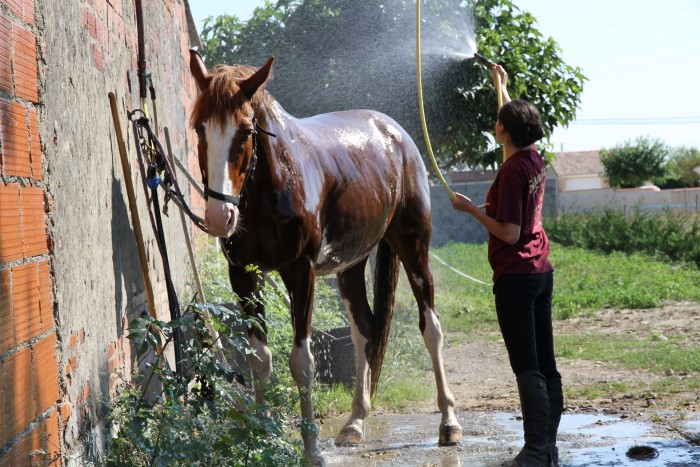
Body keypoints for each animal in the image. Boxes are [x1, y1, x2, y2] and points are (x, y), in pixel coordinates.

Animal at [189, 50, 462, 460]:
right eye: (198, 129)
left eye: (247, 131)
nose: (220, 217)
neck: (274, 183)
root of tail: (395, 134)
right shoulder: (244, 275)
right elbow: (259, 359)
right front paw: (258, 437)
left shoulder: (300, 272)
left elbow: (302, 362)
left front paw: (310, 449)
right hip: (350, 266)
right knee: (364, 331)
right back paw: (355, 423)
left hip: (414, 248)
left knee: (431, 328)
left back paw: (449, 423)